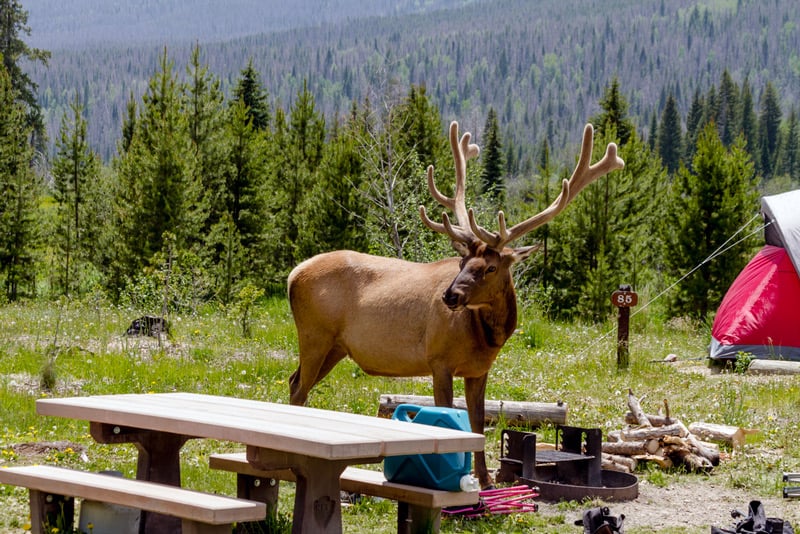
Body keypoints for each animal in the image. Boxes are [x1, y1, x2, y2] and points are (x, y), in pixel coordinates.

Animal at [288, 121, 624, 490]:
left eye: (490, 267)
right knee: (299, 387)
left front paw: (486, 481)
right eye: (463, 261)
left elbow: (477, 422)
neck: (486, 337)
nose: (449, 296)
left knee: (294, 381)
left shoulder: (479, 370)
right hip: (315, 335)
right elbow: (448, 416)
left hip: (335, 346)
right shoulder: (439, 360)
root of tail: (292, 275)